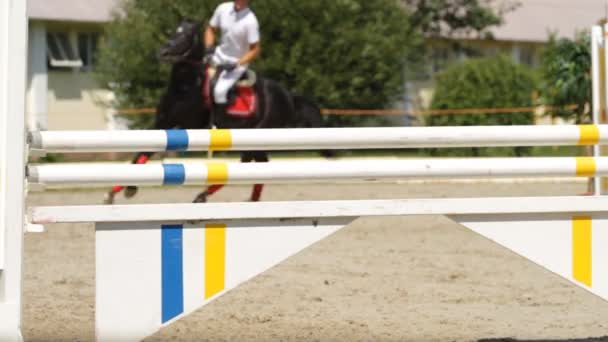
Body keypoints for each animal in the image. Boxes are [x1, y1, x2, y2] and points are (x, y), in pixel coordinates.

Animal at [107, 19, 330, 203]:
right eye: (172, 32)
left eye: (186, 36)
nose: (163, 53)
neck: (184, 88)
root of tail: (289, 96)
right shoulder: (162, 125)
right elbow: (141, 153)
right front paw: (120, 190)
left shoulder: (185, 127)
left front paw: (127, 188)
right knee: (253, 166)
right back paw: (247, 200)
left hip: (257, 138)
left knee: (250, 166)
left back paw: (205, 196)